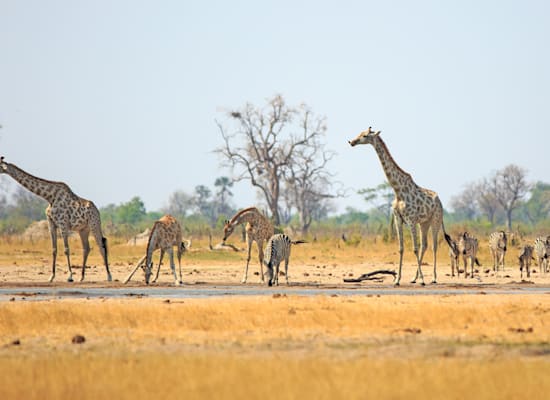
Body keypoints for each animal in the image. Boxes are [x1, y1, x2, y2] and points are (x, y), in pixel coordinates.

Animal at [352, 126, 454, 286]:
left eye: (365, 135)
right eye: (360, 133)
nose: (351, 141)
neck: (398, 190)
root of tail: (440, 201)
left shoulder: (411, 220)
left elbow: (414, 248)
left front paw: (422, 280)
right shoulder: (398, 219)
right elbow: (401, 248)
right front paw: (398, 280)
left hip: (435, 220)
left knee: (434, 246)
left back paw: (433, 278)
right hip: (424, 223)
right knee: (425, 245)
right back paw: (414, 278)